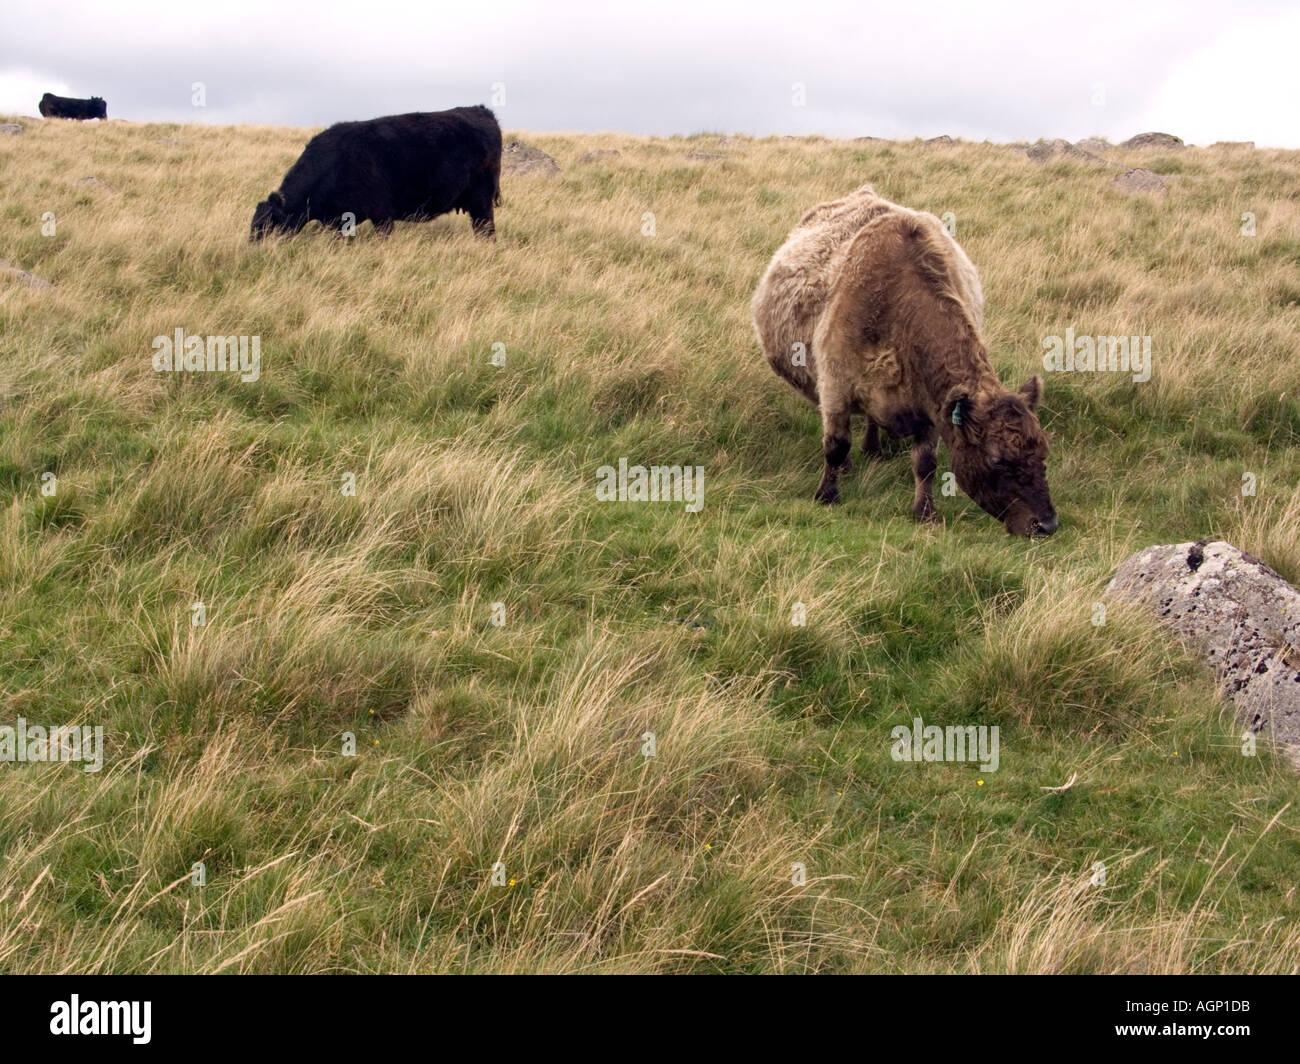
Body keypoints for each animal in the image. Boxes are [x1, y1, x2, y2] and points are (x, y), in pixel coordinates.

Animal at [250, 106, 503, 241]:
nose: (254, 251)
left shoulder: (382, 215)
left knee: (486, 230)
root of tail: (480, 110)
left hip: (481, 201)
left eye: (267, 226)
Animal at [752, 185, 1057, 537]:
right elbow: (835, 445)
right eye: (997, 459)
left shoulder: (931, 407)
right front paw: (827, 495)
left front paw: (925, 511)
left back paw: (873, 447)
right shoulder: (834, 386)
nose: (1047, 523)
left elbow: (925, 463)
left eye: (1043, 451)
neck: (896, 311)